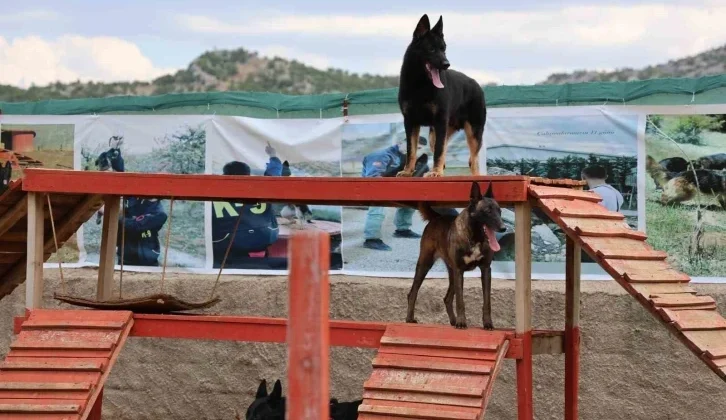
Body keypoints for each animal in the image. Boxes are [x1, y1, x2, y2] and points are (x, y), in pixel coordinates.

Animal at [398, 14, 490, 179]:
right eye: (431, 49)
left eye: (444, 50)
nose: (447, 64)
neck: (420, 85)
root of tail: (477, 84)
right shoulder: (410, 122)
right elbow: (411, 150)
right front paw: (408, 171)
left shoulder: (440, 121)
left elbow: (438, 152)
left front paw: (435, 172)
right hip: (434, 135)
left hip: (473, 132)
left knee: (473, 160)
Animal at [410, 182, 506, 330]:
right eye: (488, 211)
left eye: (499, 211)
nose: (503, 228)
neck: (475, 238)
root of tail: (437, 217)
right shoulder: (459, 271)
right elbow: (460, 301)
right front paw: (462, 322)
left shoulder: (485, 270)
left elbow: (487, 301)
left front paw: (488, 323)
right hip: (425, 264)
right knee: (412, 293)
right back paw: (409, 319)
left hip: (452, 273)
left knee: (447, 298)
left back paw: (453, 321)